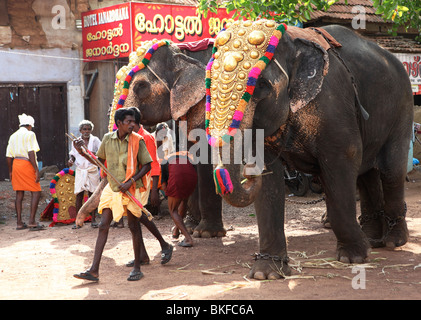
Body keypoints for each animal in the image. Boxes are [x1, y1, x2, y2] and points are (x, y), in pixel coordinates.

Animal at [205, 20, 412, 280]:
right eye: (208, 84)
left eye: (261, 85)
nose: (248, 172)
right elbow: (270, 180)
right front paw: (267, 273)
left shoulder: (333, 106)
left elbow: (344, 159)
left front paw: (353, 258)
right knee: (367, 173)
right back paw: (373, 239)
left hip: (403, 107)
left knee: (391, 170)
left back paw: (393, 241)